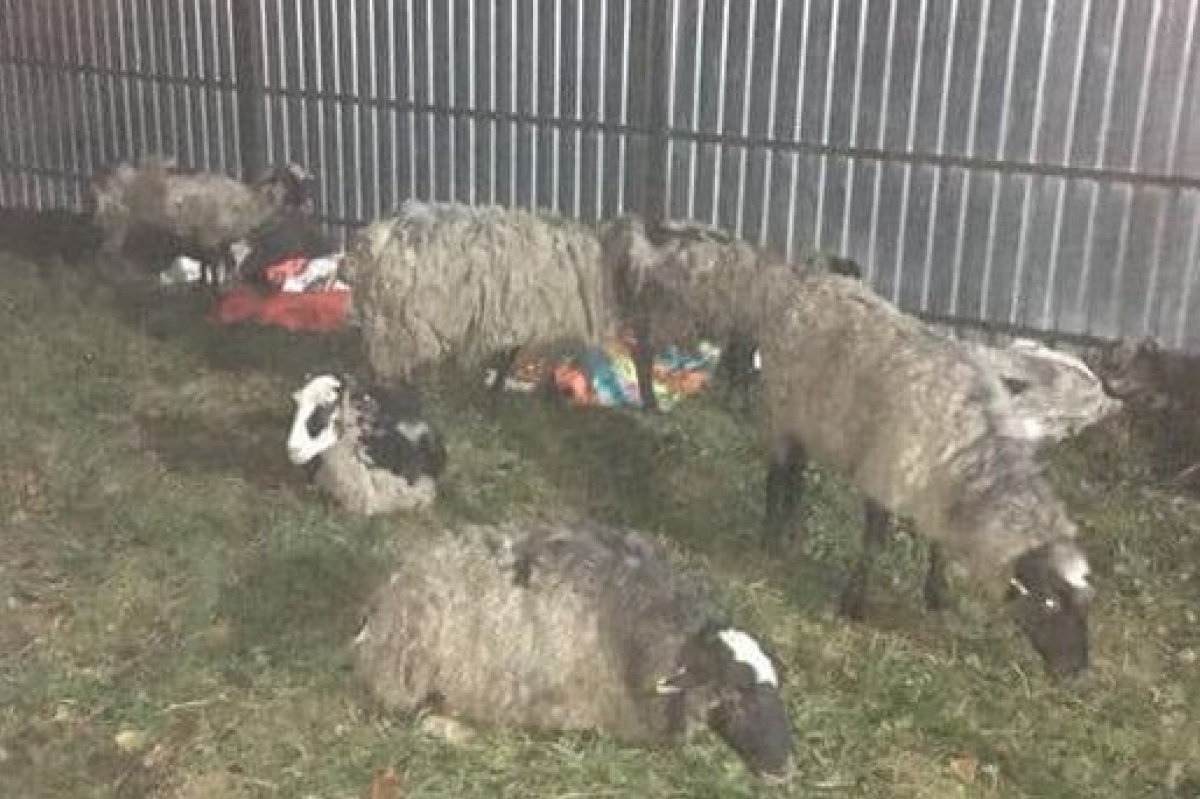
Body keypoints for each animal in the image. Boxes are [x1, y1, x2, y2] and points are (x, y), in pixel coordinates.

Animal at [90, 155, 317, 289]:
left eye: (301, 180)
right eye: (290, 181)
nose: (309, 205)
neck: (248, 202)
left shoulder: (219, 239)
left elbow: (218, 263)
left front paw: (211, 285)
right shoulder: (210, 235)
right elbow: (213, 264)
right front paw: (214, 288)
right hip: (117, 221)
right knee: (107, 253)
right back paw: (117, 279)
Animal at [756, 272, 1093, 676]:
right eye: (1050, 603)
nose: (1076, 669)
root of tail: (817, 280)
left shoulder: (938, 490)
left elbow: (938, 547)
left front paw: (937, 594)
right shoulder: (887, 474)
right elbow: (874, 543)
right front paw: (853, 602)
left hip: (810, 422)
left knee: (798, 469)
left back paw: (792, 525)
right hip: (781, 408)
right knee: (778, 470)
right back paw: (772, 536)